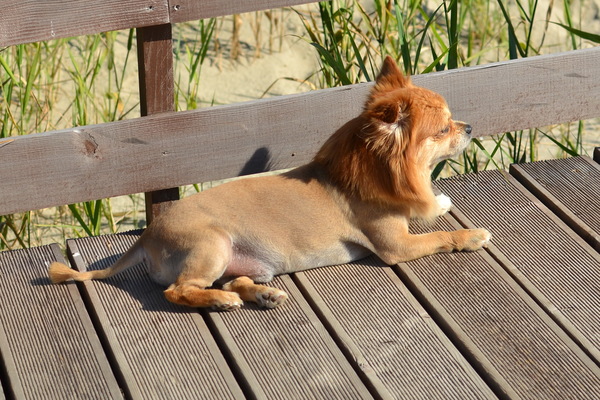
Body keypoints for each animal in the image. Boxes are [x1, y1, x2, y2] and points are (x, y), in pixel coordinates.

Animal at [50, 57, 492, 312]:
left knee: (236, 279)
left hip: (239, 261)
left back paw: (263, 295)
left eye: (453, 121)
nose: (470, 126)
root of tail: (145, 237)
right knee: (177, 291)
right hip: (212, 245)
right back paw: (220, 301)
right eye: (443, 129)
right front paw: (469, 234)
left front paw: (438, 201)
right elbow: (438, 235)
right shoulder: (396, 246)